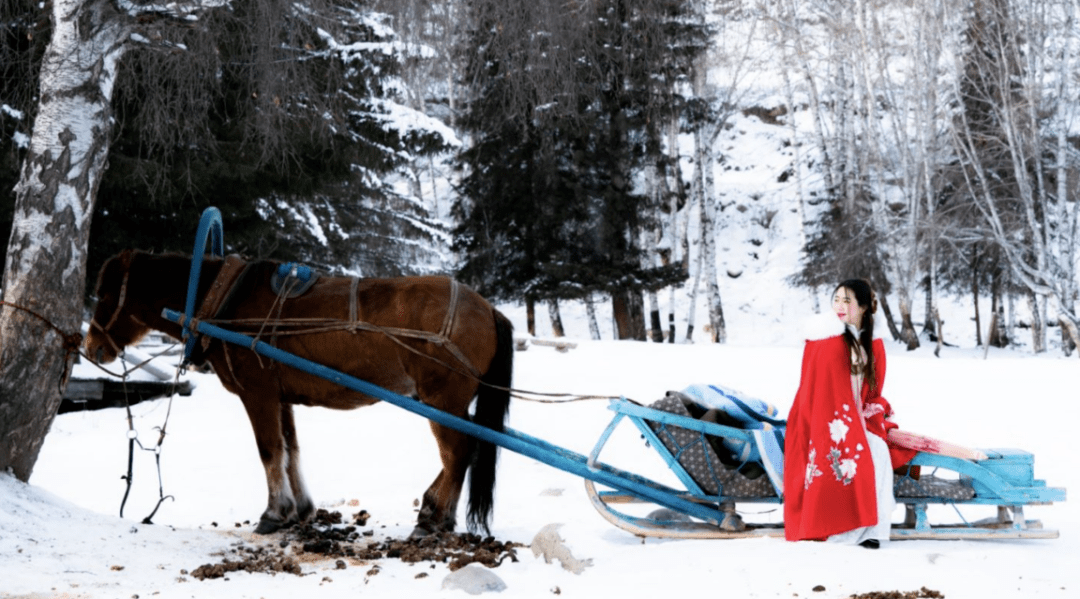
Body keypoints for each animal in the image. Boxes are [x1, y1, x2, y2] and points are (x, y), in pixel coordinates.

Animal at [82, 248, 511, 535]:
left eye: (104, 295)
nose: (91, 348)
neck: (224, 298)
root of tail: (488, 308)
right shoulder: (280, 396)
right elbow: (291, 450)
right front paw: (300, 509)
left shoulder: (257, 393)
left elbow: (270, 451)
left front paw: (274, 513)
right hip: (448, 402)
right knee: (463, 451)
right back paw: (432, 511)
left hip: (443, 400)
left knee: (457, 452)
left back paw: (435, 518)